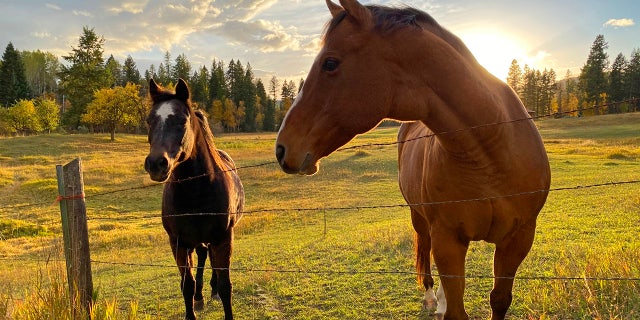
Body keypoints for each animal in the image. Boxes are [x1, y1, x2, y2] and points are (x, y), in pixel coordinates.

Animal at [145, 78, 245, 320]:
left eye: (182, 120)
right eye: (149, 120)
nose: (156, 164)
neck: (196, 191)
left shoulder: (223, 238)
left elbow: (226, 284)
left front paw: (219, 292)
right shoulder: (178, 243)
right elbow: (186, 285)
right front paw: (194, 303)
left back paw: (212, 292)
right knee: (201, 256)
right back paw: (200, 298)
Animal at [276, 1, 552, 318]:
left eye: (330, 63)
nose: (281, 149)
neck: (490, 152)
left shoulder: (518, 239)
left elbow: (499, 300)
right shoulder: (447, 239)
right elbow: (456, 307)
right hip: (421, 220)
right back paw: (434, 298)